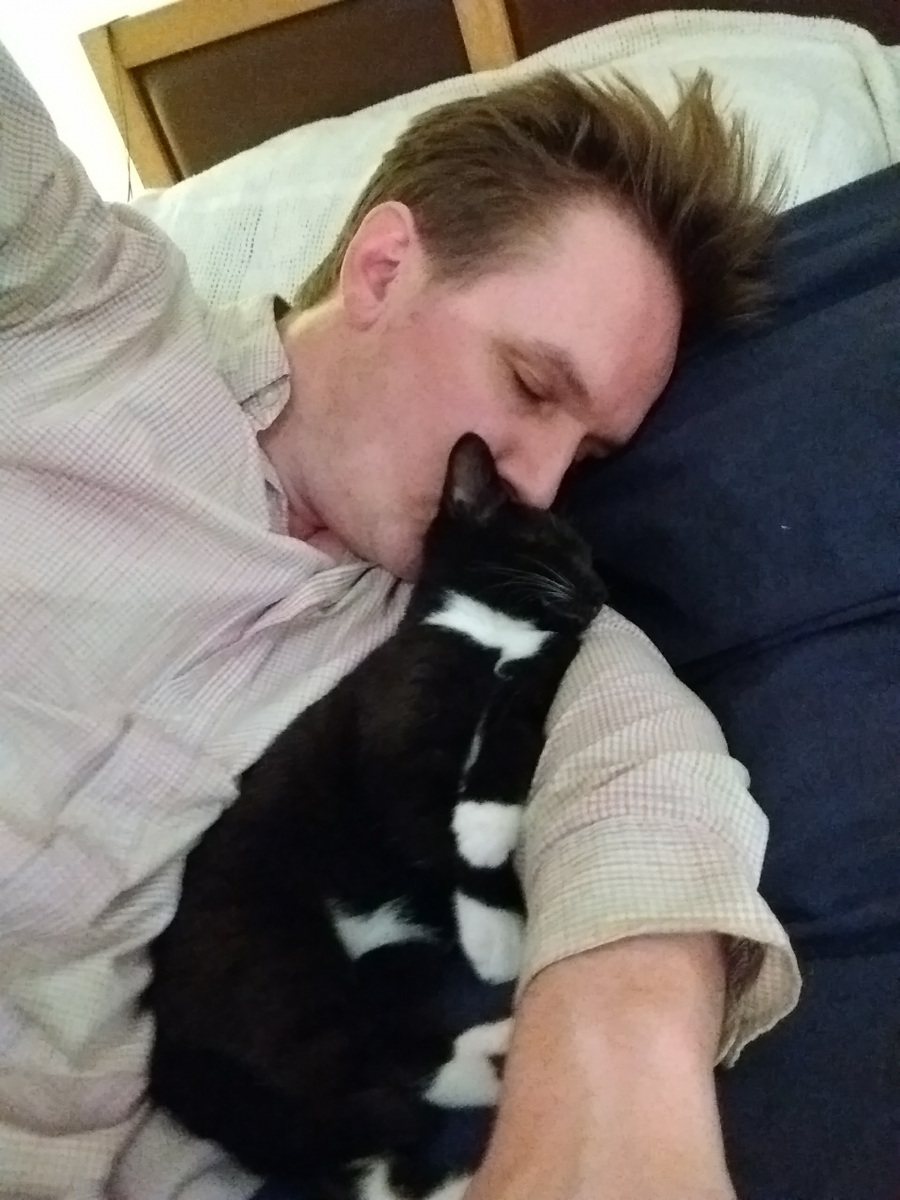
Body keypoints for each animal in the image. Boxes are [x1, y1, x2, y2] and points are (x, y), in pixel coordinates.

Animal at [146, 433, 606, 1200]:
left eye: (591, 556)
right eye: (556, 544)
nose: (602, 594)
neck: (491, 637)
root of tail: (169, 1036)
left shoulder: (536, 679)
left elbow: (514, 735)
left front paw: (490, 854)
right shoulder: (395, 734)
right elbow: (431, 831)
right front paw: (496, 917)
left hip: (396, 964)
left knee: (386, 1069)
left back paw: (491, 1059)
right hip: (277, 964)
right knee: (354, 1098)